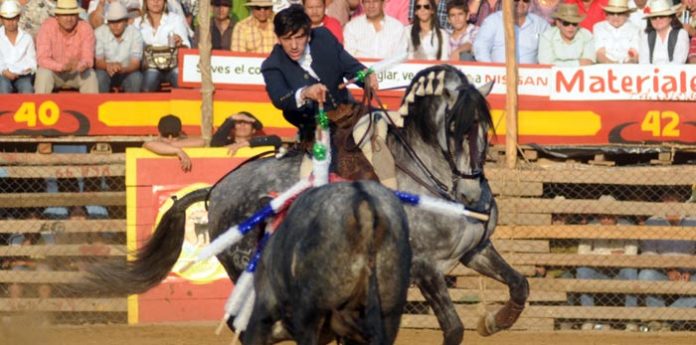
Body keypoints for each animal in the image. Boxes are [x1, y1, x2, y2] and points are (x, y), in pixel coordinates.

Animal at [79, 65, 528, 344]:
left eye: (485, 128)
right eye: (454, 126)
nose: (471, 195)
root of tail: (216, 191)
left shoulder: (475, 251)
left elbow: (519, 285)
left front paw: (494, 320)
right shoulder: (425, 266)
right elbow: (452, 328)